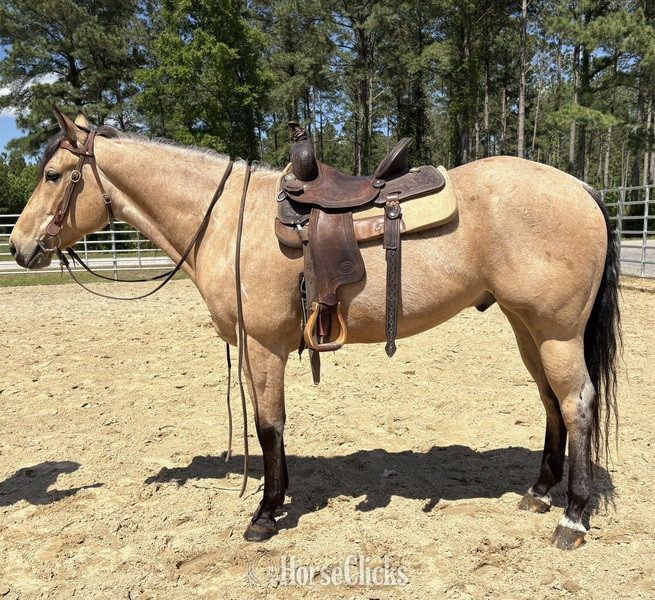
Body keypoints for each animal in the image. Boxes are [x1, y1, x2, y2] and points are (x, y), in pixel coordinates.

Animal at [9, 109, 621, 550]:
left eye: (53, 175)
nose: (18, 247)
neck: (228, 221)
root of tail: (583, 189)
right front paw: (274, 503)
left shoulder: (263, 348)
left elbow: (269, 427)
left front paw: (265, 512)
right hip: (527, 328)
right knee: (550, 401)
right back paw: (539, 492)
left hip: (557, 333)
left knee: (577, 404)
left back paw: (572, 518)